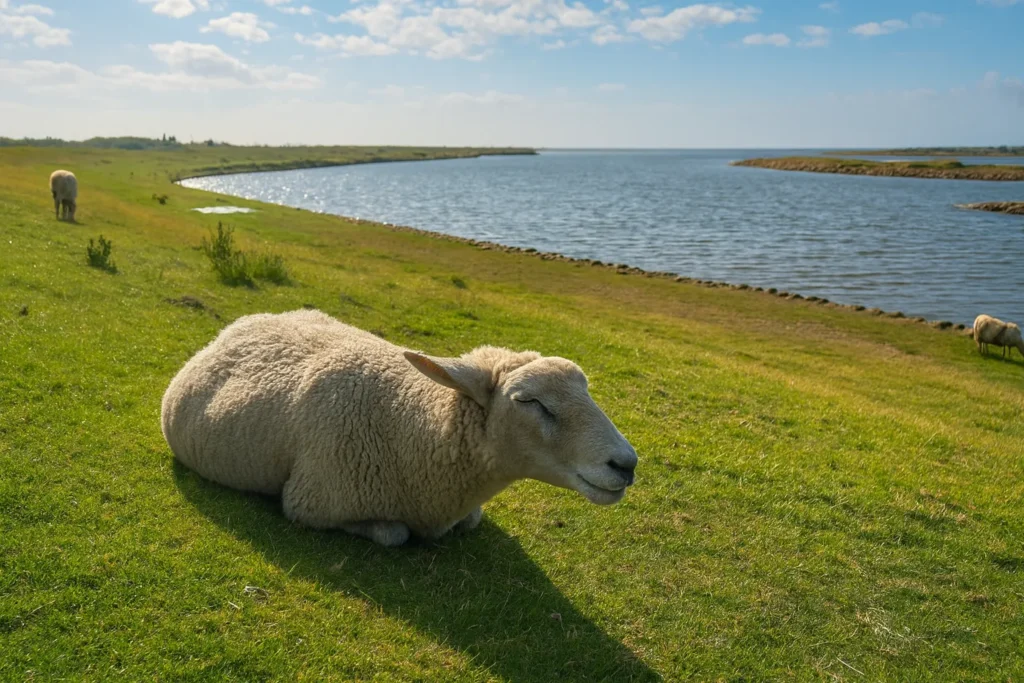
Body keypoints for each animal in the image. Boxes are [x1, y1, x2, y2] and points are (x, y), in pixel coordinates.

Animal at [161, 309, 639, 546]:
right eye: (530, 402)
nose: (627, 464)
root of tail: (242, 323)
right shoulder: (310, 502)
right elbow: (393, 534)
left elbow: (471, 521)